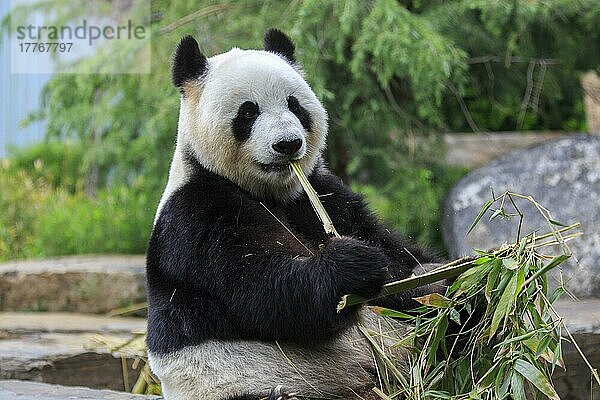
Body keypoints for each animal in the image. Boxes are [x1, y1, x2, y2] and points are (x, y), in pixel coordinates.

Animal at [148, 28, 442, 400]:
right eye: (248, 112)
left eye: (295, 105)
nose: (287, 144)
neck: (268, 191)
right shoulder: (197, 215)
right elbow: (265, 291)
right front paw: (353, 264)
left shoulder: (317, 193)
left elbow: (394, 252)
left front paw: (437, 274)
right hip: (239, 382)